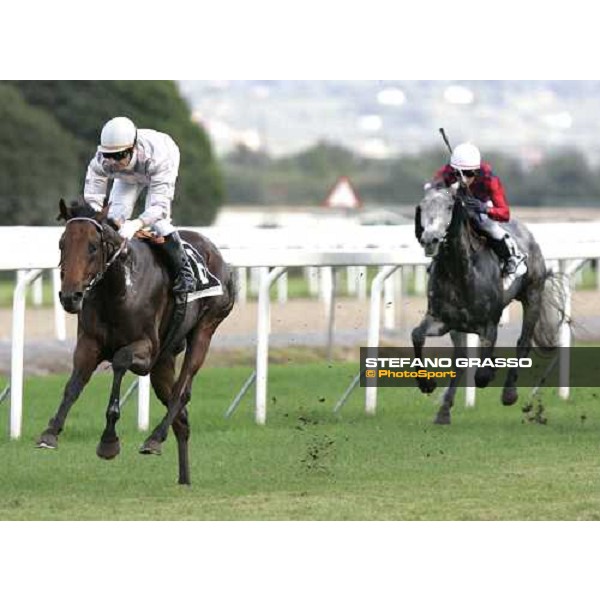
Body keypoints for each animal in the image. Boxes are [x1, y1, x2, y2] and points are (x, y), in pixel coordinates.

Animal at [36, 199, 236, 486]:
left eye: (93, 247)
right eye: (62, 243)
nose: (70, 297)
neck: (119, 288)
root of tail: (218, 255)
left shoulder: (147, 350)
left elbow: (120, 361)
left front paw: (108, 441)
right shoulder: (89, 344)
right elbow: (73, 385)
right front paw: (51, 431)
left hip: (205, 329)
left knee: (182, 391)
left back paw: (154, 438)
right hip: (164, 361)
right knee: (182, 417)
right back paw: (184, 479)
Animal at [410, 188, 564, 426]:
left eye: (448, 206)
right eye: (422, 206)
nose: (430, 239)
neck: (460, 272)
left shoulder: (488, 324)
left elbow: (481, 375)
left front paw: (491, 373)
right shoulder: (441, 319)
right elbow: (417, 335)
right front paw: (427, 384)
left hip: (533, 296)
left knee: (523, 342)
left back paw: (509, 393)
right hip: (459, 327)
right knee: (460, 358)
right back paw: (444, 411)